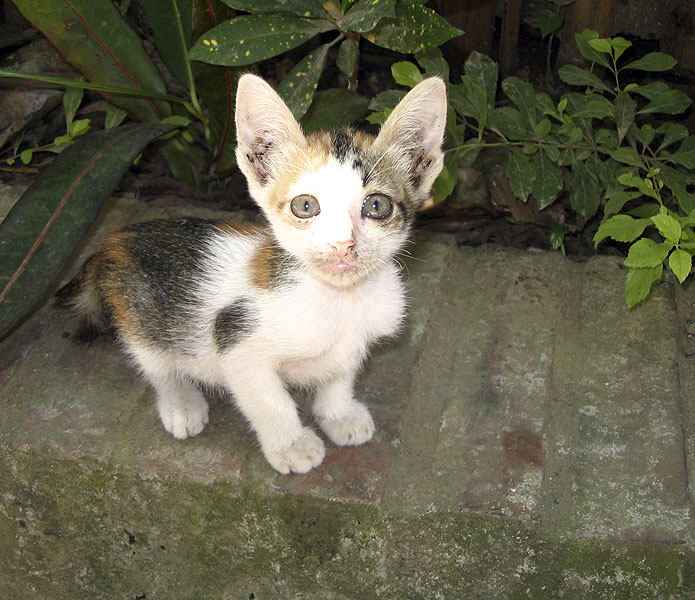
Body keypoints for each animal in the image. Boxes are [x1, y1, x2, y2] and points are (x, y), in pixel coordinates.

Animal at [58, 74, 446, 474]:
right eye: (305, 205)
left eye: (377, 205)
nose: (342, 244)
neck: (339, 299)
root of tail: (116, 239)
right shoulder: (235, 339)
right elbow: (268, 400)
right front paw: (291, 445)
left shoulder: (356, 340)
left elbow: (340, 375)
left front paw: (338, 414)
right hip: (139, 314)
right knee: (158, 365)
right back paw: (181, 402)